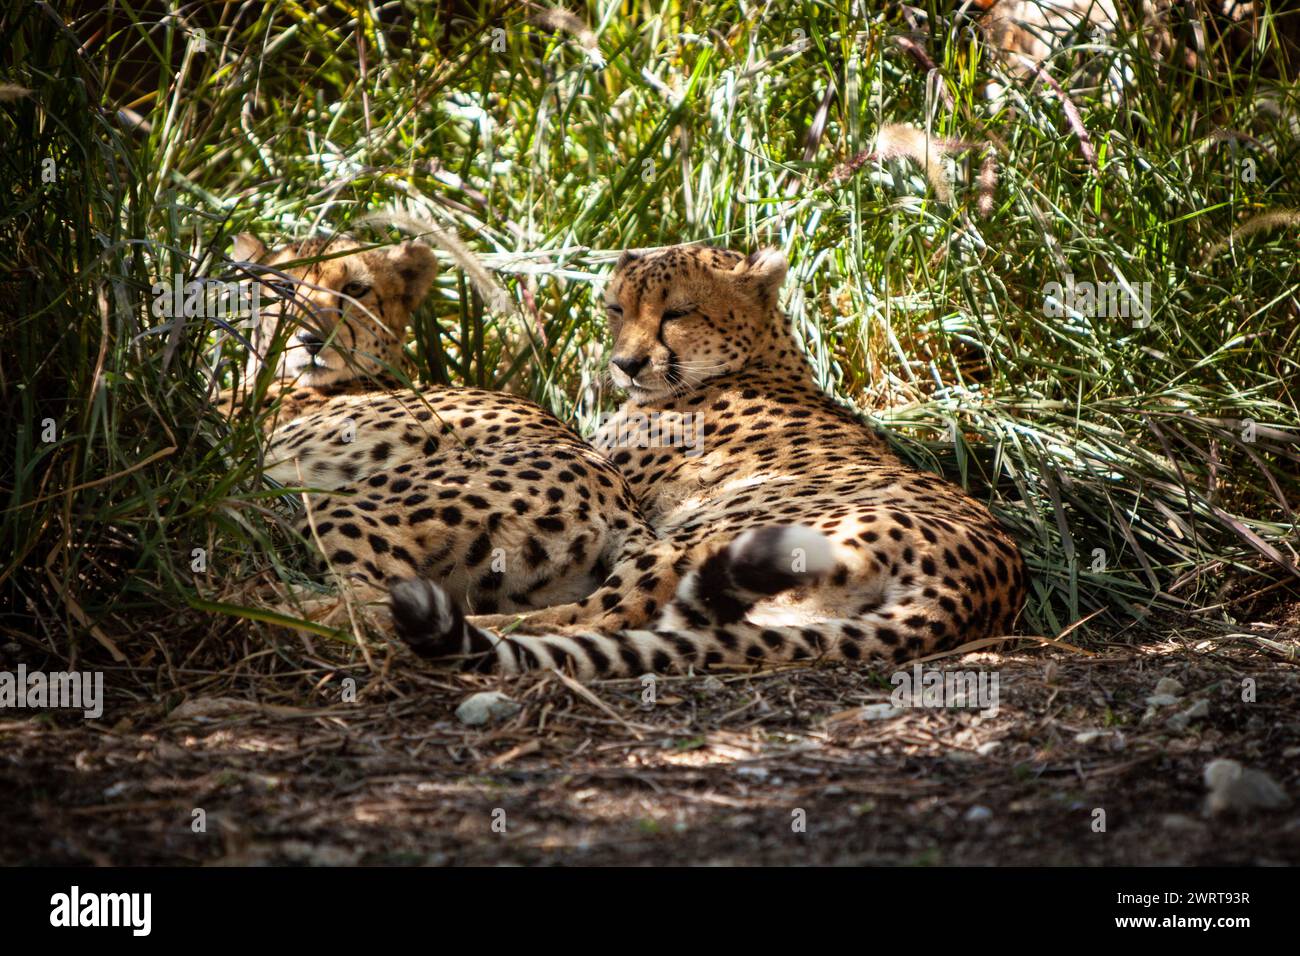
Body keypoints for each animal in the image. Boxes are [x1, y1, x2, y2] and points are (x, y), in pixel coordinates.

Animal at [220, 235, 660, 616]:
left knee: (373, 604)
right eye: (282, 287)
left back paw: (263, 604)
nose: (311, 339)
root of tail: (623, 501)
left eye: (356, 289)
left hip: (341, 504)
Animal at [390, 247, 1029, 681]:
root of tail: (977, 584)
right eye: (616, 308)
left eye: (677, 312)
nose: (625, 364)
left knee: (598, 616)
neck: (758, 358)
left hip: (700, 539)